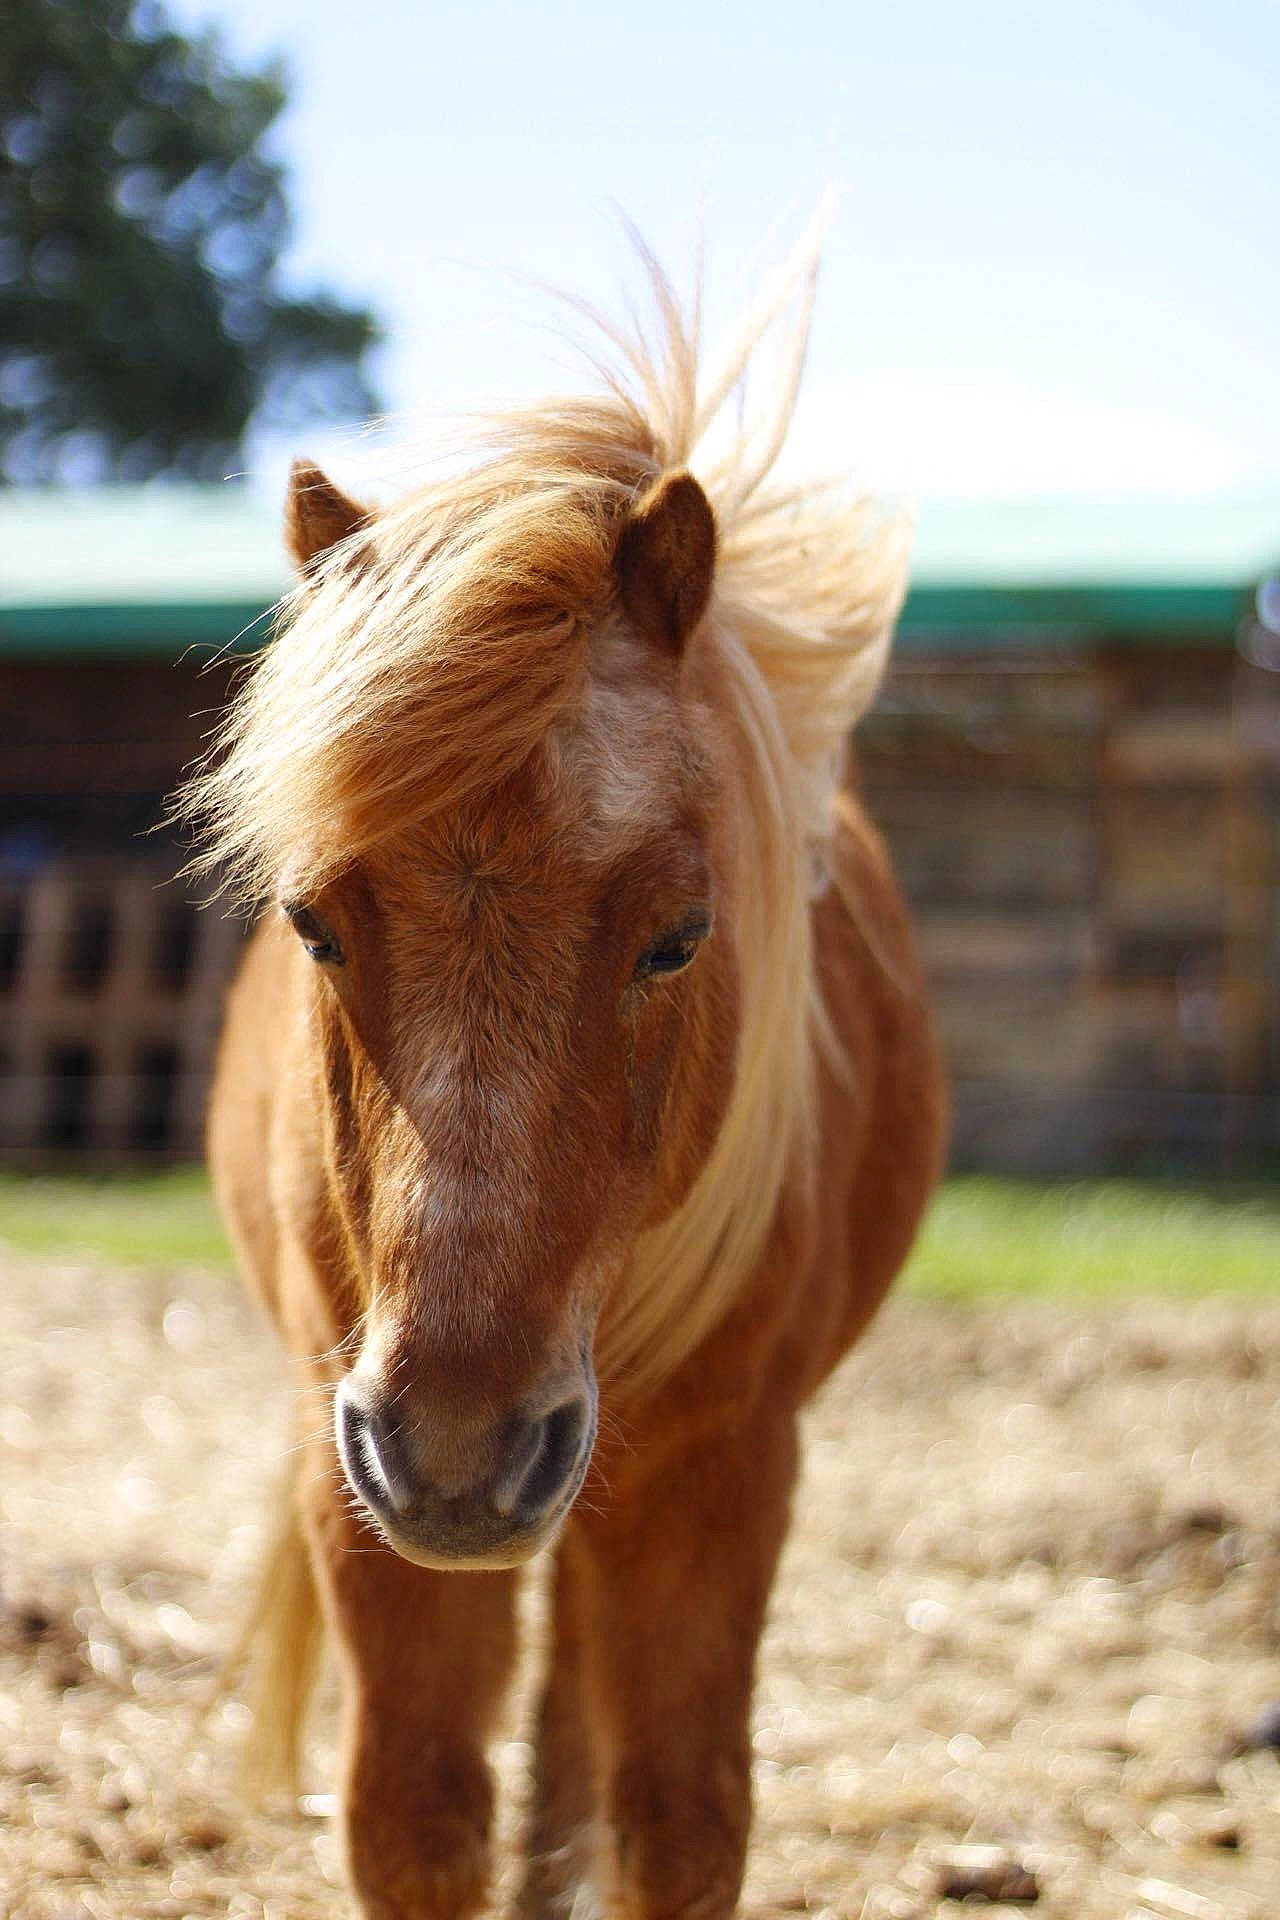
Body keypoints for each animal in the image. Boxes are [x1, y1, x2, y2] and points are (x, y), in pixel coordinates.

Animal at [183, 239, 947, 1920]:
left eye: (679, 936)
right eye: (312, 922)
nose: (458, 1449)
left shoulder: (720, 1477)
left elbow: (678, 1812)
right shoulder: (360, 1486)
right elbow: (414, 1809)